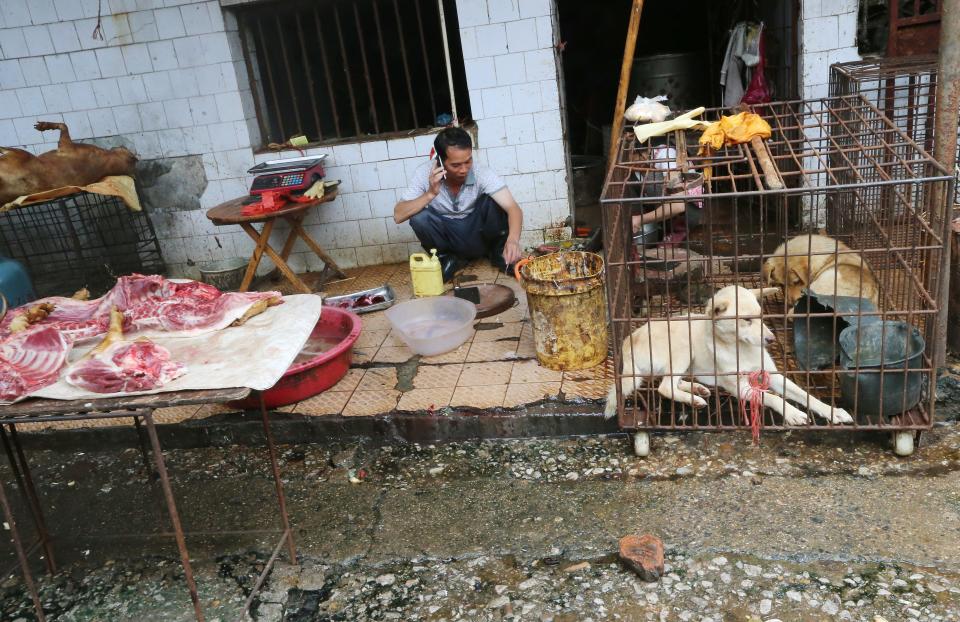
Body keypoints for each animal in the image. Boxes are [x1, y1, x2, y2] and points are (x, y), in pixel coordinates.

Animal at [608, 286, 856, 428]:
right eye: (746, 320)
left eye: (761, 316)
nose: (771, 339)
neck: (742, 349)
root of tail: (628, 340)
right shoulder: (739, 387)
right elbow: (774, 398)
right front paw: (793, 413)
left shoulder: (774, 376)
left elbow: (807, 396)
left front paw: (832, 411)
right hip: (683, 348)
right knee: (665, 387)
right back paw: (693, 398)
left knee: (673, 382)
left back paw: (697, 390)